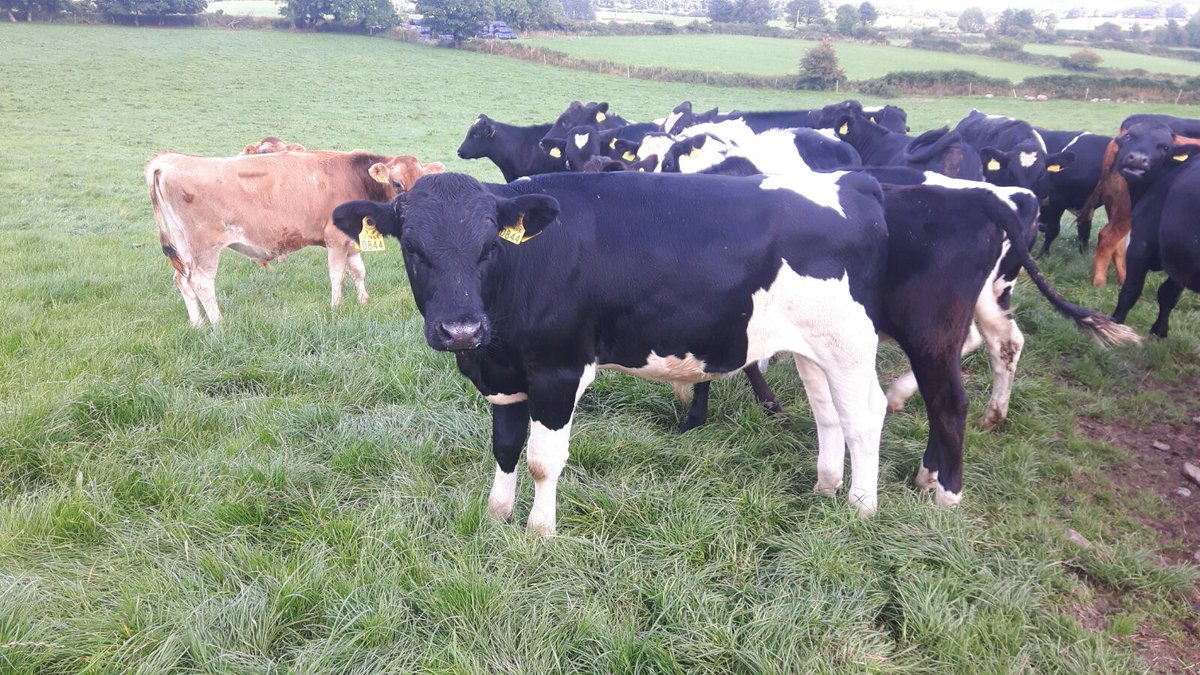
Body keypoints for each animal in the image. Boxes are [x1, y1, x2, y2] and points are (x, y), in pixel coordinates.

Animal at [146, 150, 443, 326]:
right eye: (397, 184)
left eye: (423, 182)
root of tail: (168, 159)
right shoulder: (335, 239)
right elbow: (338, 274)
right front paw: (336, 306)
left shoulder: (353, 238)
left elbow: (358, 270)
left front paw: (363, 301)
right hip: (204, 246)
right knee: (202, 283)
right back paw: (218, 324)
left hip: (184, 245)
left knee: (182, 280)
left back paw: (197, 324)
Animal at [332, 170, 893, 535]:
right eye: (412, 250)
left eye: (490, 246)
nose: (462, 329)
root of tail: (854, 182)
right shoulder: (503, 375)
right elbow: (505, 447)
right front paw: (496, 516)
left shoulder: (558, 371)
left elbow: (542, 460)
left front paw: (539, 533)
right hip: (813, 347)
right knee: (827, 413)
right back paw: (824, 487)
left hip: (849, 343)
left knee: (865, 417)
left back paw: (861, 507)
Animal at [1110, 121, 1200, 337]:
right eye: (1129, 136)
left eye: (1164, 147)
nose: (1138, 159)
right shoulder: (1180, 257)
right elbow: (1168, 295)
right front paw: (1159, 331)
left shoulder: (1140, 245)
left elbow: (1130, 291)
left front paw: (1115, 326)